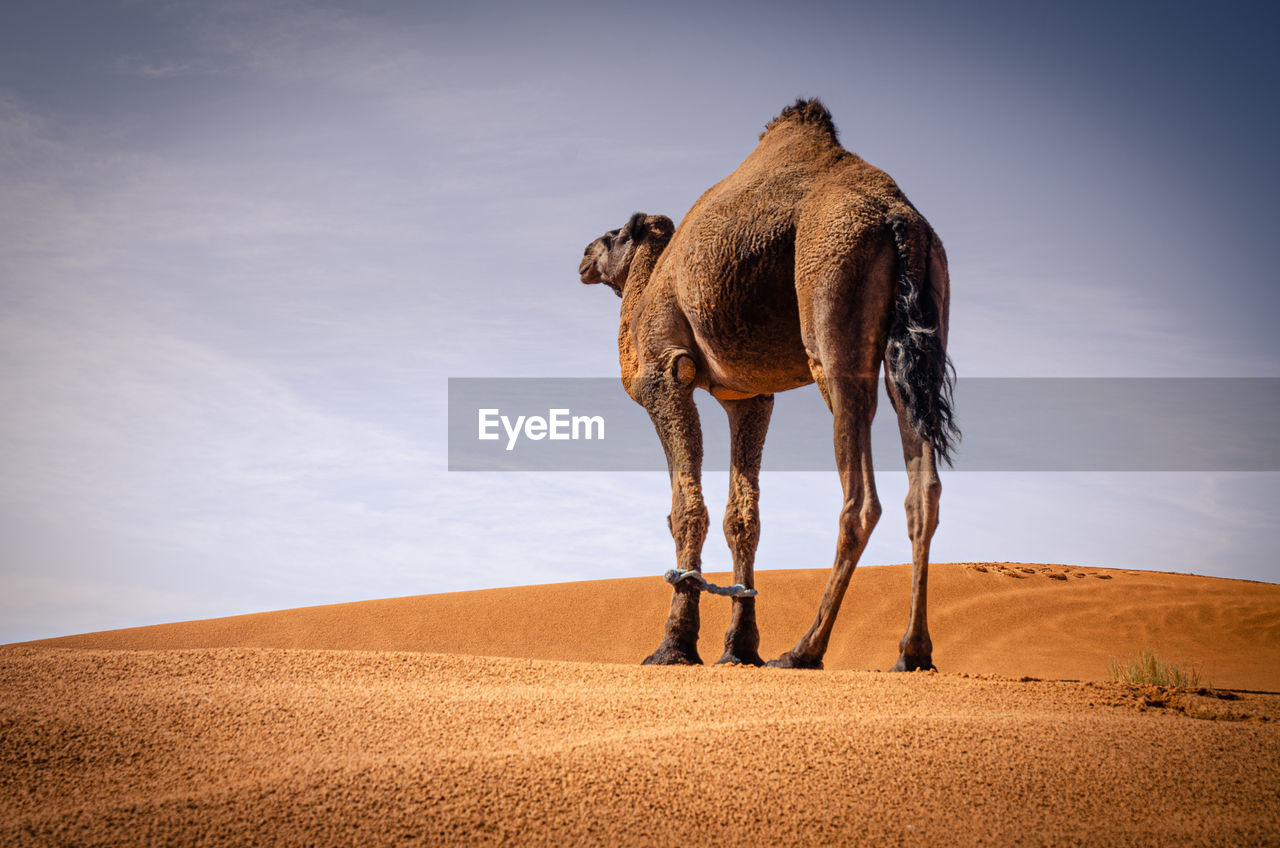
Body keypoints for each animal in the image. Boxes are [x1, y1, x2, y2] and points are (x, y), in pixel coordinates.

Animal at [581, 97, 962, 671]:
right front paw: (738, 648)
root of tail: (898, 218)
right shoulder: (749, 397)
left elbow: (685, 509)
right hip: (924, 333)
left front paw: (674, 646)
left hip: (832, 309)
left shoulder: (665, 376)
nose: (583, 257)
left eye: (614, 235)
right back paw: (912, 652)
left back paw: (805, 649)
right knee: (924, 490)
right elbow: (744, 518)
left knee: (861, 496)